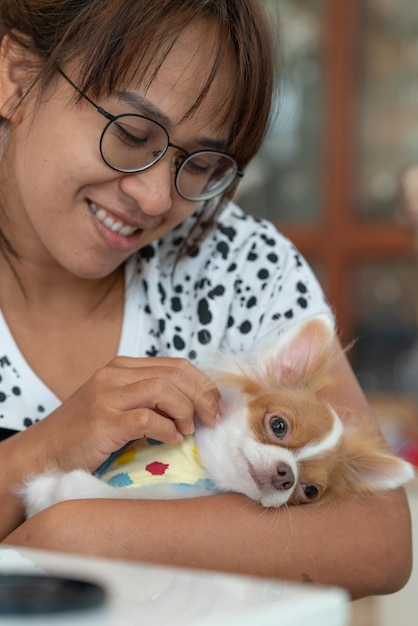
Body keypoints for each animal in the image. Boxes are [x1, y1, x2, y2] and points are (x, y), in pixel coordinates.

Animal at [20, 314, 414, 516]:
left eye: (309, 490)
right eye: (278, 425)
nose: (286, 475)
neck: (199, 458)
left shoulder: (159, 493)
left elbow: (86, 490)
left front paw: (55, 487)